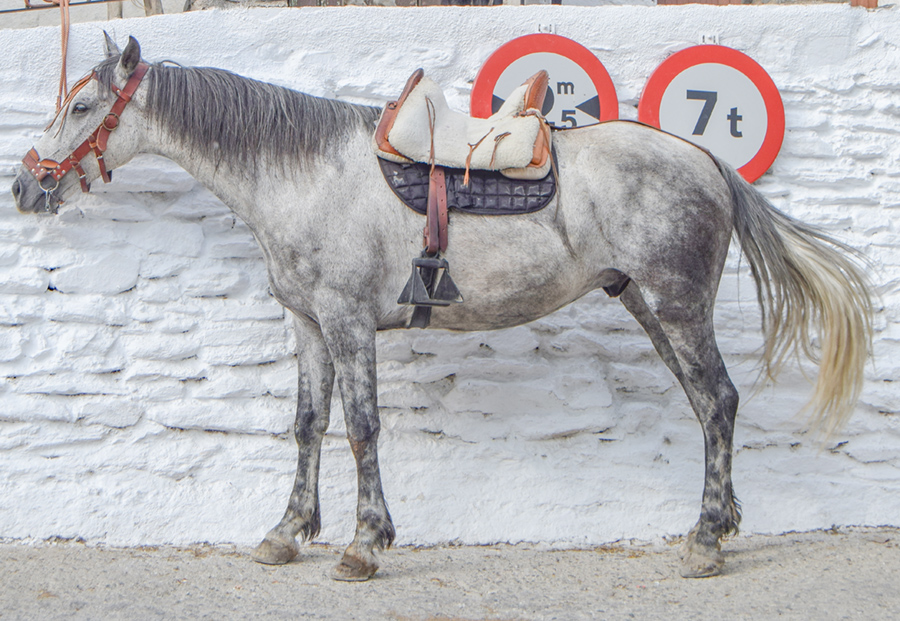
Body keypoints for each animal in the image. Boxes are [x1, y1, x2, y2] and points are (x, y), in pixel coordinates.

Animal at [11, 36, 872, 581]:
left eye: (82, 106)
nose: (25, 185)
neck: (302, 173)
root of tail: (705, 159)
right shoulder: (308, 324)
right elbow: (307, 424)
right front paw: (287, 532)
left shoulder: (349, 321)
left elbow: (360, 427)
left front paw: (364, 544)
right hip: (651, 306)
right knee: (708, 404)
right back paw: (718, 525)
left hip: (679, 305)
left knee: (719, 400)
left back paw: (704, 541)